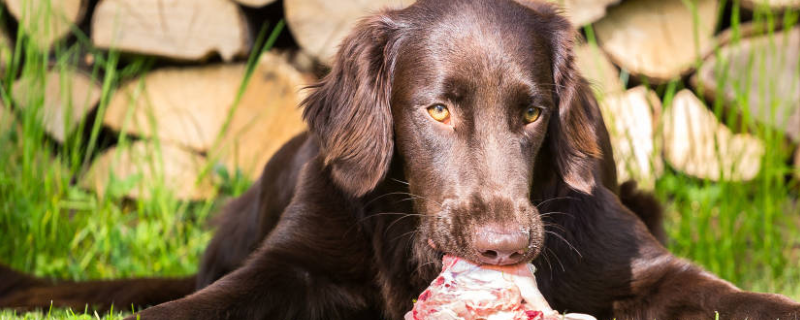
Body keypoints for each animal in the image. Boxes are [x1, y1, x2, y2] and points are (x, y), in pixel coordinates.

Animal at [1, 0, 800, 318]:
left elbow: (739, 297)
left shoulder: (642, 266)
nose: (503, 248)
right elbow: (197, 307)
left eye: (534, 113)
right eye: (437, 110)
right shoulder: (294, 260)